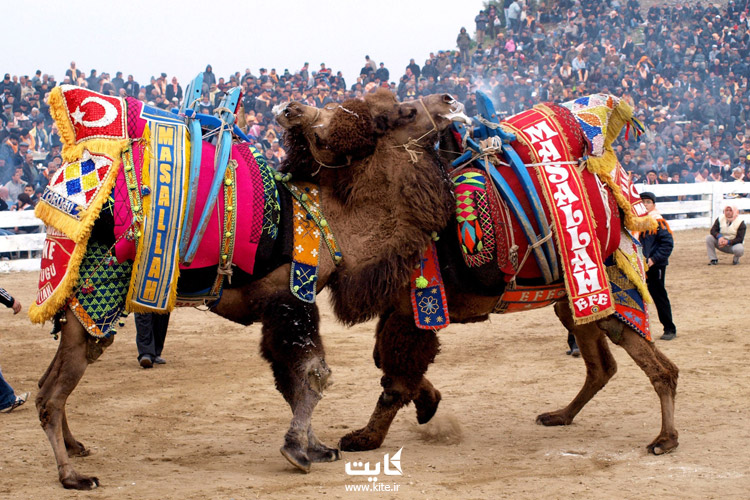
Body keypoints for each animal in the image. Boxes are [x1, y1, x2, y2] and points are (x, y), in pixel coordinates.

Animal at [39, 89, 470, 488]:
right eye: (406, 111)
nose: (450, 99)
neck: (332, 222)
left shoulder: (273, 308)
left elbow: (289, 379)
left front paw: (316, 446)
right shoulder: (291, 297)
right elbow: (313, 374)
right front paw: (297, 450)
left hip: (77, 305)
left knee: (48, 383)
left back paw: (76, 447)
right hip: (98, 297)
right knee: (51, 395)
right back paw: (72, 475)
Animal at [278, 93, 680, 458]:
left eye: (402, 112)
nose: (289, 108)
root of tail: (621, 202)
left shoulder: (415, 309)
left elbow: (395, 377)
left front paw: (365, 438)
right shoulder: (400, 308)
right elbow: (386, 363)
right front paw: (428, 403)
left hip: (609, 289)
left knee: (660, 368)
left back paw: (665, 439)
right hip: (572, 302)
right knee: (602, 367)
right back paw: (560, 415)